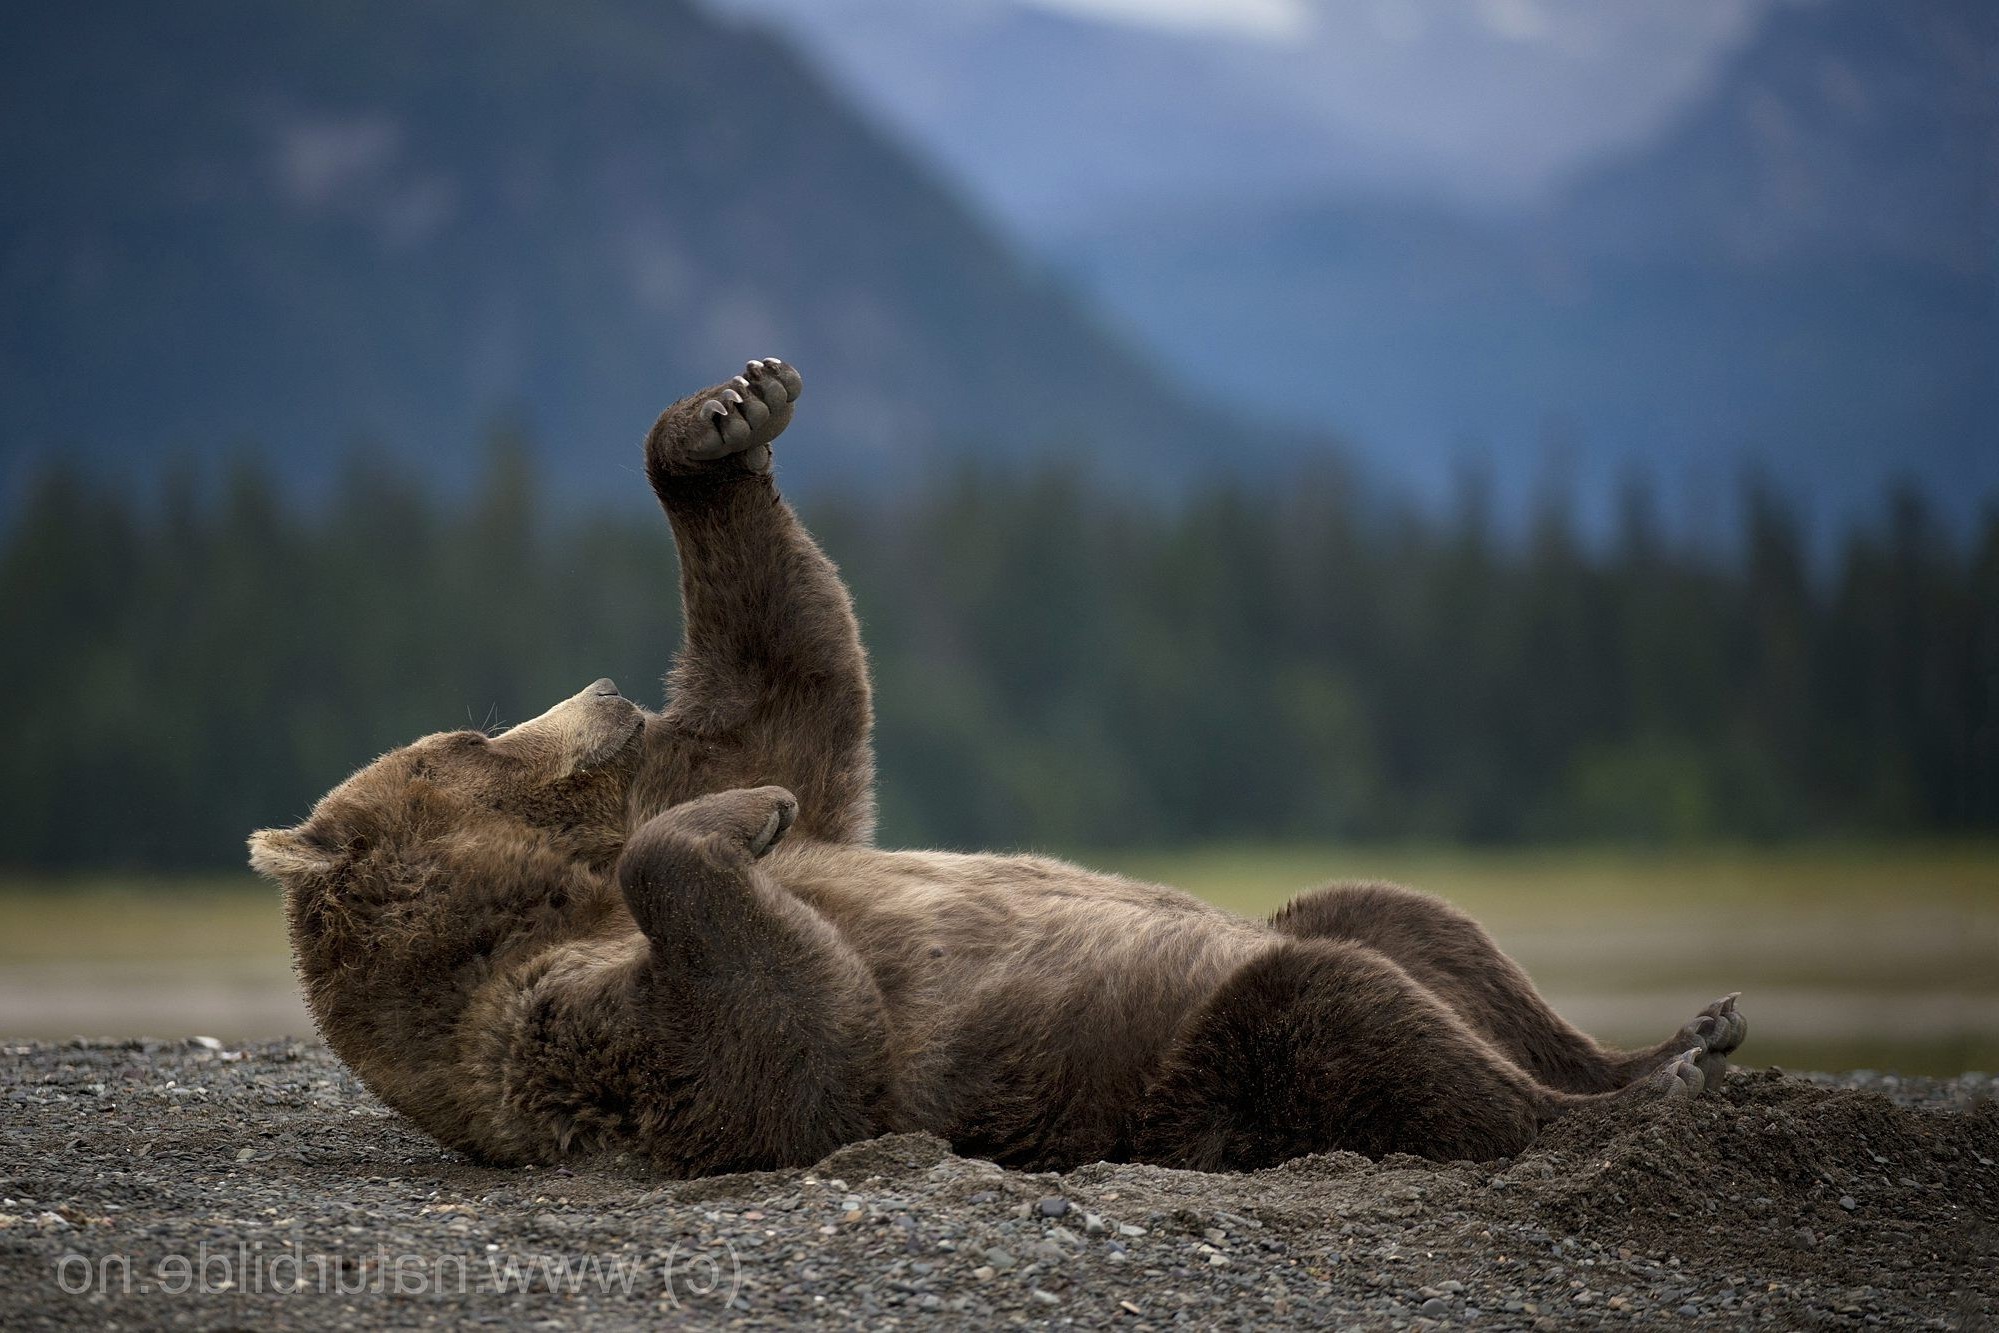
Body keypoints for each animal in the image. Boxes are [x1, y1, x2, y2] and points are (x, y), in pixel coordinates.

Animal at [249, 357, 1747, 1177]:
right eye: (463, 739)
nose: (608, 694)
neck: (535, 894)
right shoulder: (551, 1037)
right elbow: (791, 1043)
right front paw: (745, 819)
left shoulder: (686, 791)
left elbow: (786, 693)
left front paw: (723, 418)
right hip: (1179, 1071)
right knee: (1330, 1009)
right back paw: (1608, 1105)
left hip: (1312, 940)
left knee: (1401, 917)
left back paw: (1666, 1039)